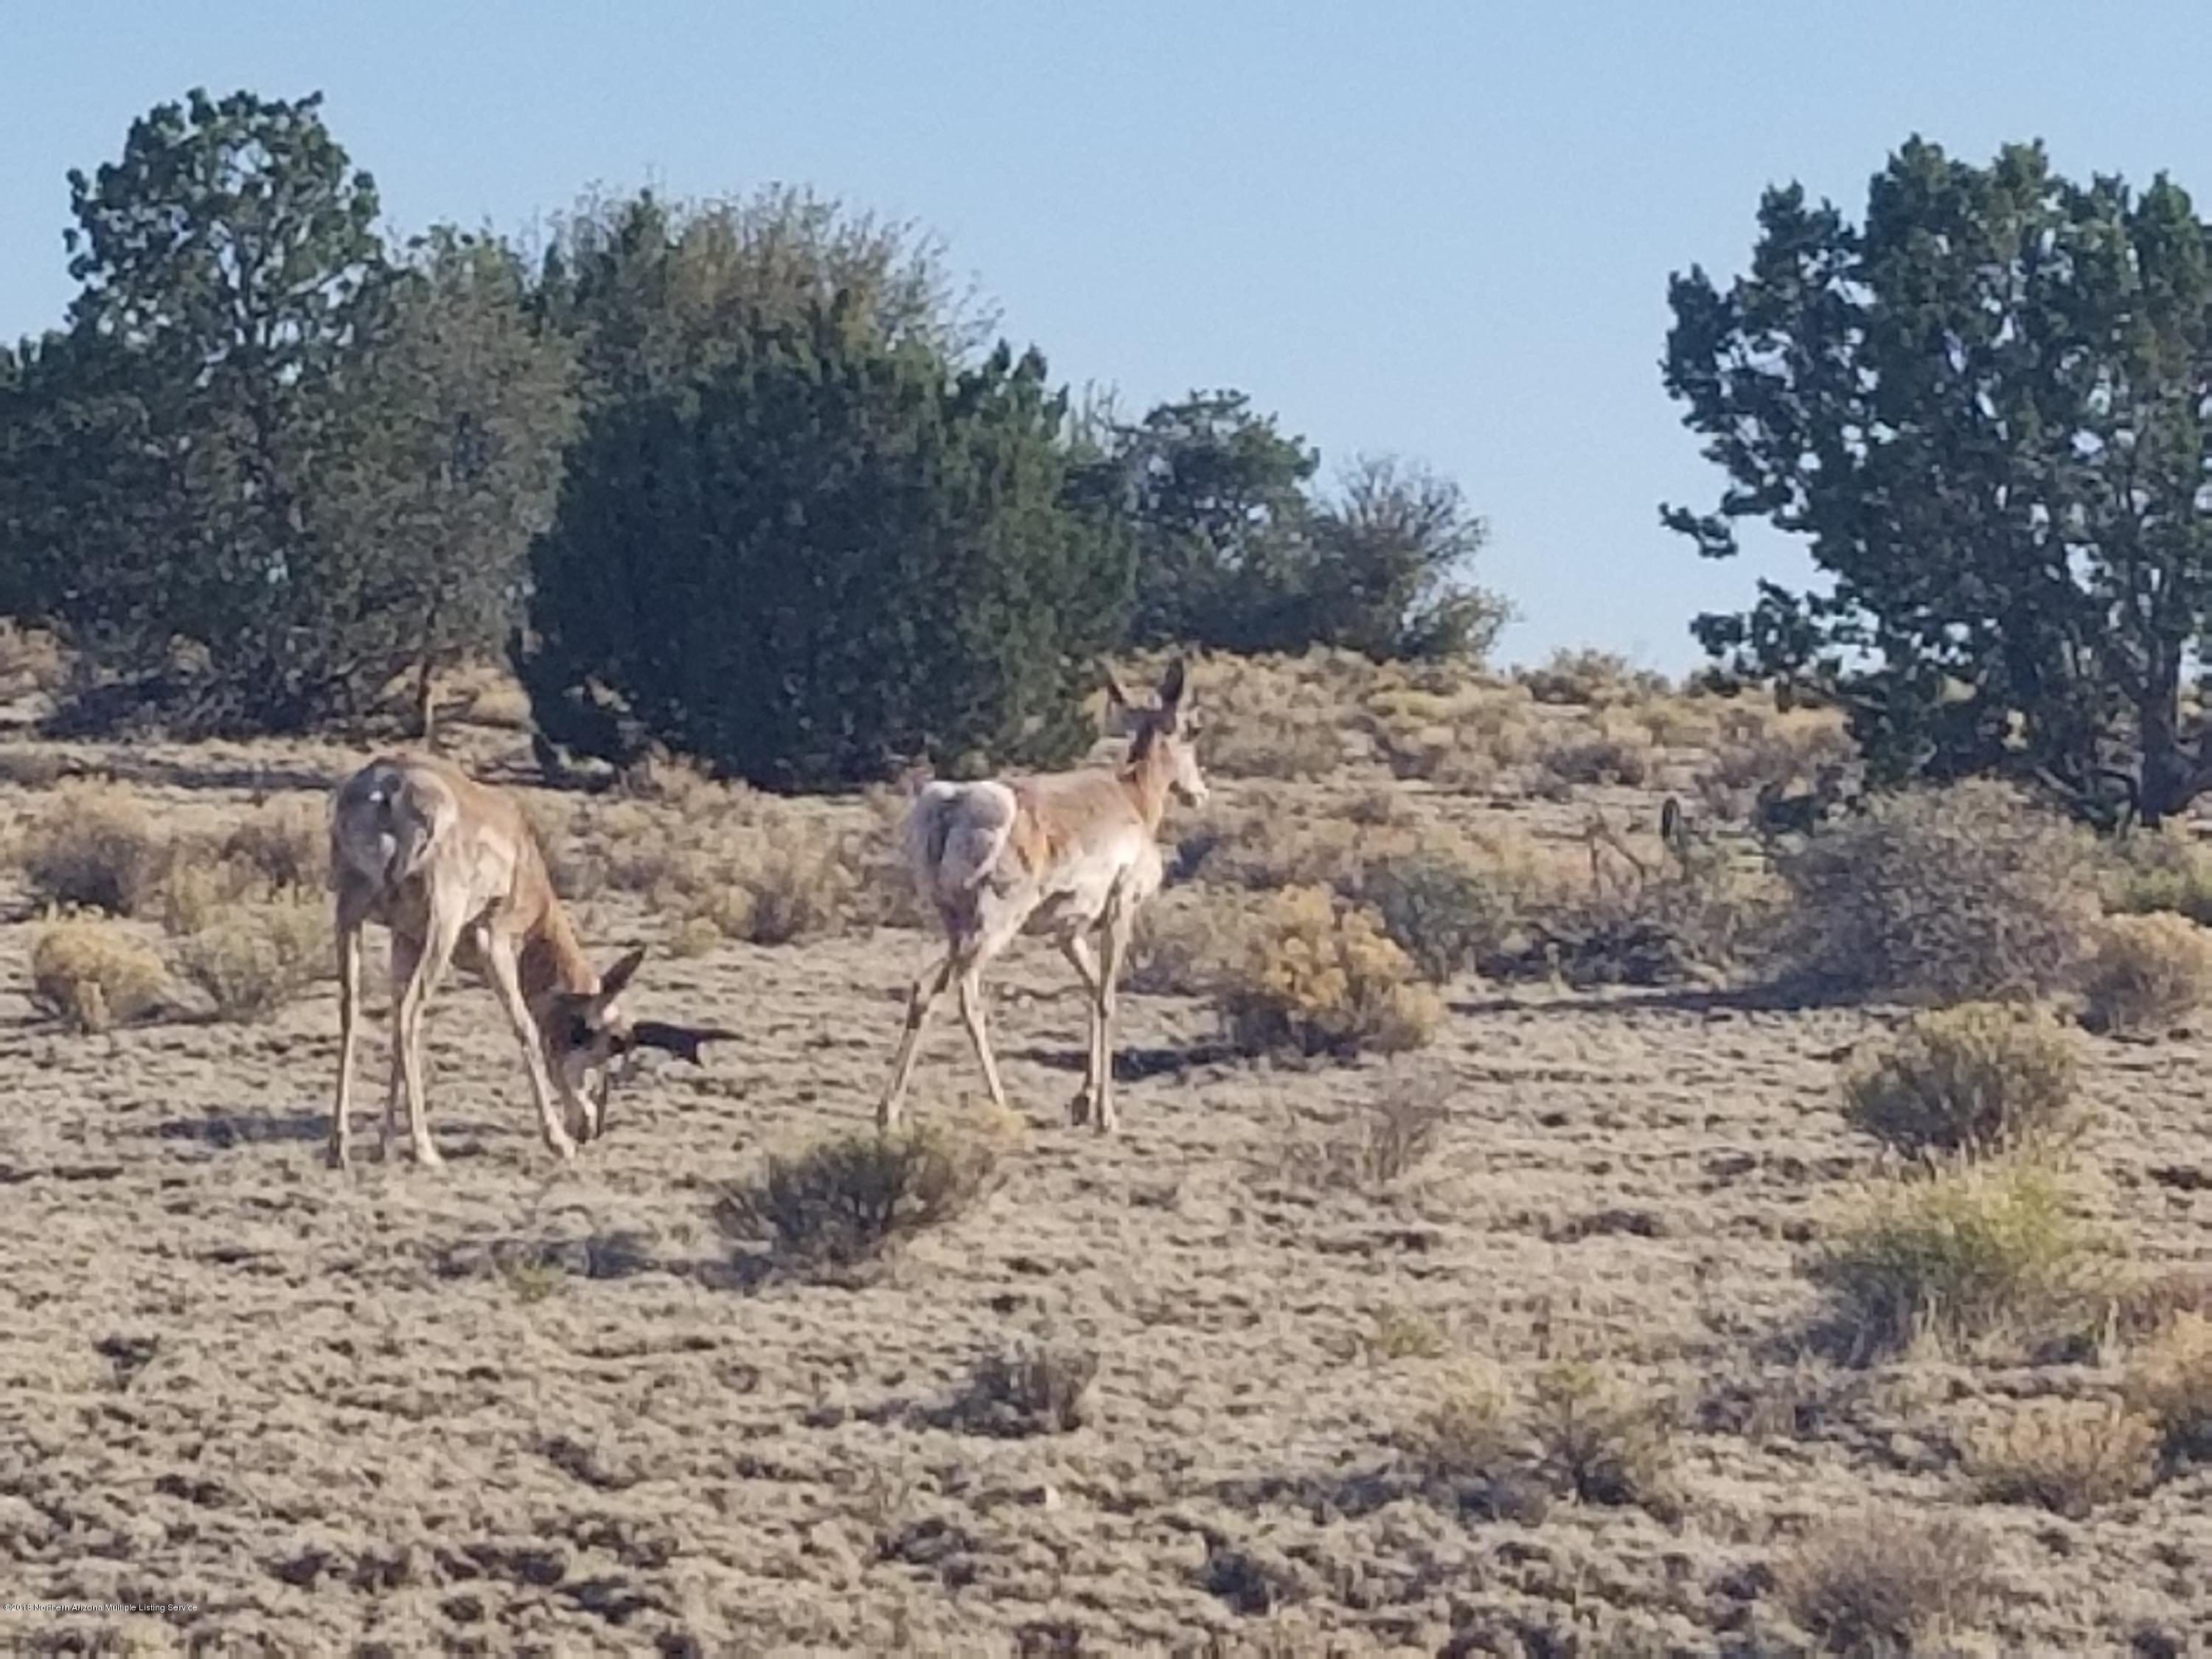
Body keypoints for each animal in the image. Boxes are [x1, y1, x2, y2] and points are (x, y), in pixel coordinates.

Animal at [328, 753, 733, 1169]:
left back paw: (339, 1147)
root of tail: (389, 785)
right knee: (410, 1015)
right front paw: (558, 1142)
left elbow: (392, 1018)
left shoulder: (405, 939)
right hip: (444, 923)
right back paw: (426, 1149)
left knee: (353, 1010)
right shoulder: (495, 941)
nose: (591, 1129)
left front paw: (385, 1143)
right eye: (602, 1042)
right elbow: (526, 1028)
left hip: (349, 911)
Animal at [879, 659, 1208, 1134]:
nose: (1200, 793)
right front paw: (1106, 1114)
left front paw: (1083, 1099)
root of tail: (953, 802)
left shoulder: (1068, 933)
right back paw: (977, 1105)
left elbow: (1091, 989)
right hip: (993, 926)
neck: (1131, 795)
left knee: (939, 992)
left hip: (956, 926)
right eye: (1194, 730)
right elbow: (1107, 997)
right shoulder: (1120, 909)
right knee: (952, 991)